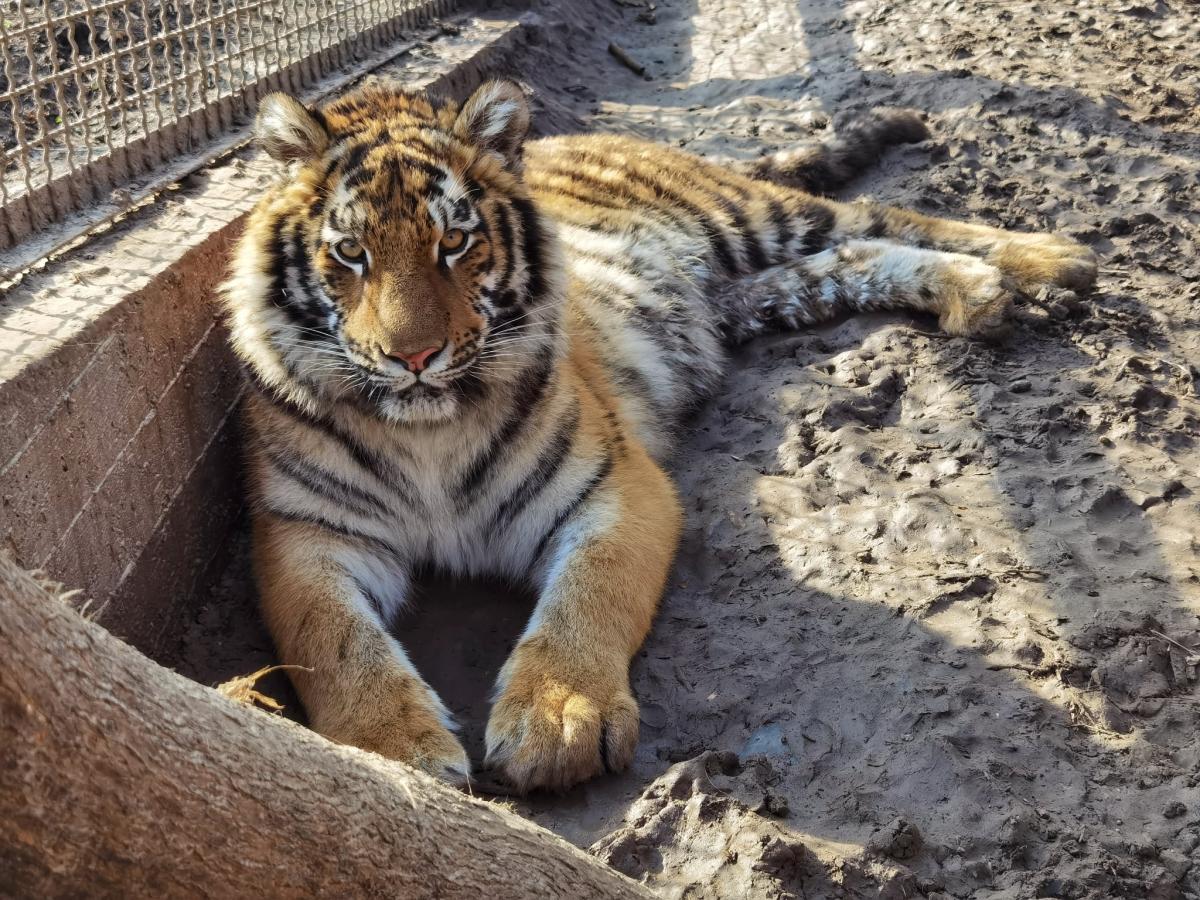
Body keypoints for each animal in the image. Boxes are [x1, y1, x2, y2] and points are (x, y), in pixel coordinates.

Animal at [223, 79, 1099, 796]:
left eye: (456, 243)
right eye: (350, 253)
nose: (413, 357)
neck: (427, 433)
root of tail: (572, 136)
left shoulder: (615, 483)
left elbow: (589, 595)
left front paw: (558, 719)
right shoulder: (302, 536)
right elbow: (334, 645)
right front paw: (393, 755)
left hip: (752, 216)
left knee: (881, 217)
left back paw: (1048, 259)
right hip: (760, 293)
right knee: (851, 256)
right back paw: (980, 294)